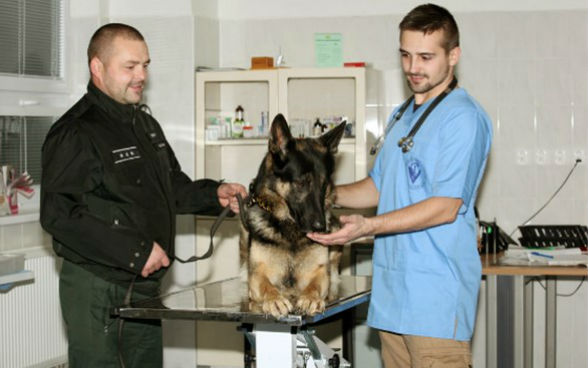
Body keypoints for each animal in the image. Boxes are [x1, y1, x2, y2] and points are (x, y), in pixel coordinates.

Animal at [240, 114, 346, 316]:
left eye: (323, 185)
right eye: (301, 183)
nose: (321, 228)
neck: (291, 232)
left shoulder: (319, 272)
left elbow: (314, 285)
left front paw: (311, 298)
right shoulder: (257, 274)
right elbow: (266, 286)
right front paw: (274, 300)